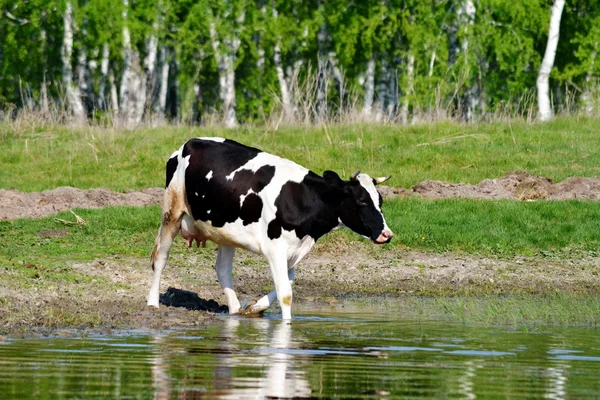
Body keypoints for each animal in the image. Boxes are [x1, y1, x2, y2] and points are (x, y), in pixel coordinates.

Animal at [147, 139, 394, 320]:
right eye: (361, 201)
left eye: (380, 200)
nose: (387, 234)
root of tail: (189, 143)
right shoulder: (275, 249)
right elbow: (285, 294)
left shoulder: (294, 250)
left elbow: (288, 282)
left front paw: (255, 308)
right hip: (172, 211)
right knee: (160, 257)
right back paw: (152, 303)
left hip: (226, 232)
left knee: (223, 269)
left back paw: (236, 311)